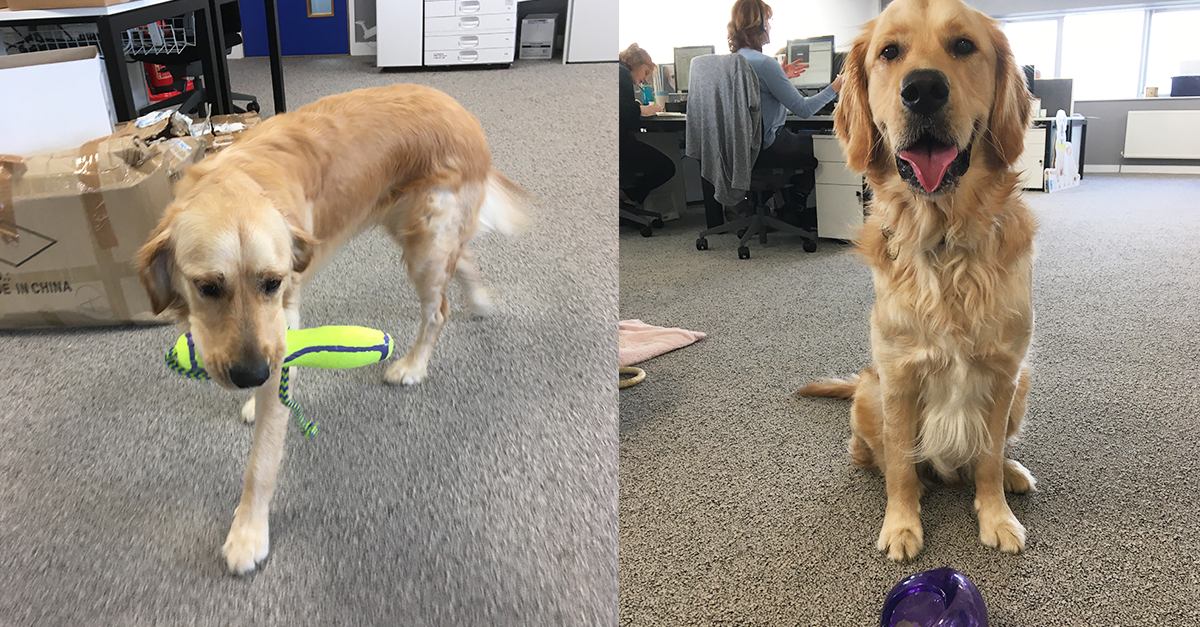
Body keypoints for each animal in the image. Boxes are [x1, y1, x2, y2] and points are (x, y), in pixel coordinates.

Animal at [136, 85, 525, 574]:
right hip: (414, 231)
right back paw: (481, 300)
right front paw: (257, 400)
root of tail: (459, 109)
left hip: (425, 244)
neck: (239, 180)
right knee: (464, 262)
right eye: (207, 287)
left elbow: (261, 461)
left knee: (438, 310)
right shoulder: (275, 330)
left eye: (272, 282)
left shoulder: (280, 322)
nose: (251, 375)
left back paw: (414, 366)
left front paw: (248, 533)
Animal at [792, 0, 1036, 562]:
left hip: (1024, 383)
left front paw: (996, 516)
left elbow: (987, 457)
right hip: (869, 390)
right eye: (889, 52)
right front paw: (902, 525)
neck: (945, 241)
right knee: (873, 454)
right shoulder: (898, 378)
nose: (923, 89)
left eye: (964, 45)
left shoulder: (1004, 374)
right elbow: (902, 464)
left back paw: (1013, 472)